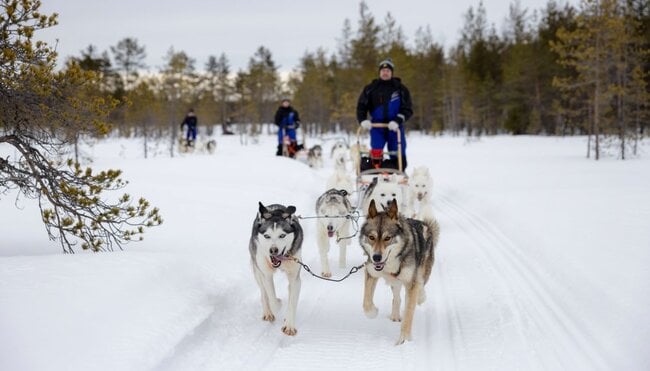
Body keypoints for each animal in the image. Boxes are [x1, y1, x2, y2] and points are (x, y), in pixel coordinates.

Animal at [249, 203, 302, 338]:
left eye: (282, 235)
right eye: (267, 236)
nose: (273, 250)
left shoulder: (295, 278)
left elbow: (292, 302)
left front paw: (289, 325)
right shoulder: (266, 275)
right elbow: (272, 298)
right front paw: (277, 304)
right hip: (257, 269)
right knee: (263, 293)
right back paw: (268, 312)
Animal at [356, 201, 438, 346]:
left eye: (387, 238)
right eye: (371, 237)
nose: (376, 257)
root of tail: (424, 224)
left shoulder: (412, 282)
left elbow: (409, 311)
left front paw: (404, 339)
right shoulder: (371, 272)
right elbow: (366, 303)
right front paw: (373, 312)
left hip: (422, 270)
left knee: (420, 286)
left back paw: (420, 297)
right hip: (395, 281)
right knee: (397, 297)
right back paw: (395, 315)